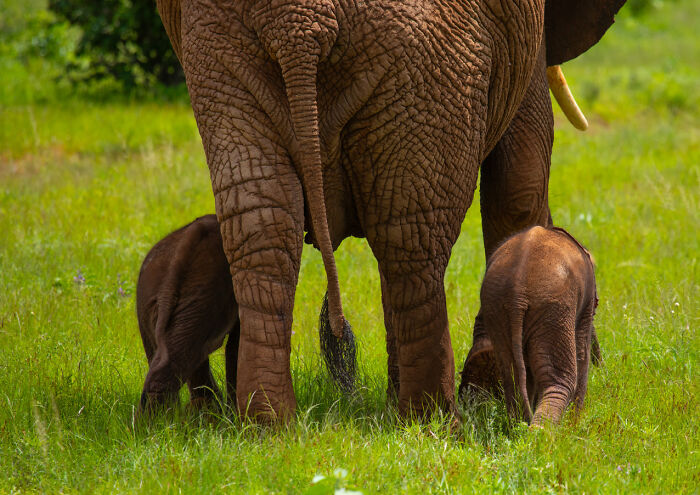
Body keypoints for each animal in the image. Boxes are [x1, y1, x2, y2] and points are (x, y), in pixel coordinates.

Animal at [461, 226, 598, 426]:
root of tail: (517, 294)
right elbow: (582, 350)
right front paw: (574, 425)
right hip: (553, 308)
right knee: (559, 379)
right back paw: (539, 432)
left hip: (497, 306)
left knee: (512, 375)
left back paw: (519, 427)